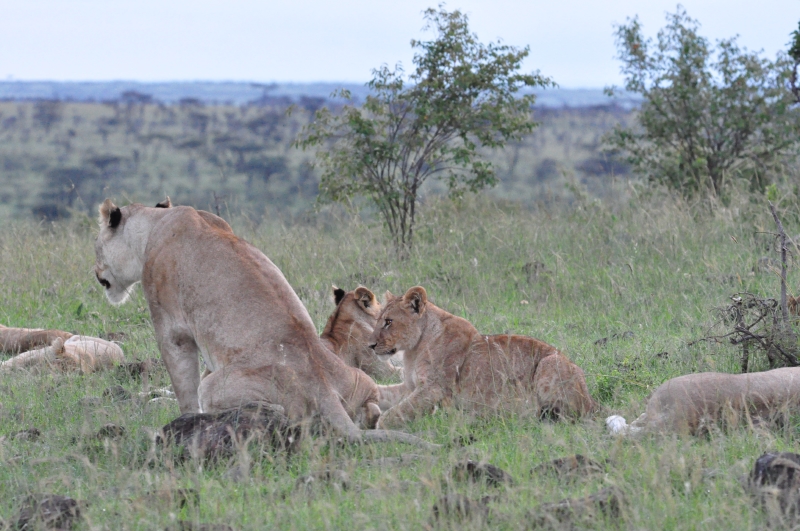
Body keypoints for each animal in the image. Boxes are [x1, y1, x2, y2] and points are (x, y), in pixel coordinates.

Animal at [94, 199, 380, 441]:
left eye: (96, 245)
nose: (95, 271)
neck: (154, 223)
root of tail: (324, 388)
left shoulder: (171, 327)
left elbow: (183, 384)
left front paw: (186, 419)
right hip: (361, 379)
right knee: (373, 409)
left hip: (213, 389)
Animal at [369, 286, 597, 429]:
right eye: (378, 320)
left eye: (388, 322)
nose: (370, 345)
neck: (414, 349)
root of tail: (591, 399)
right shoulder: (411, 386)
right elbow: (386, 394)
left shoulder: (433, 388)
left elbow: (399, 411)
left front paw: (377, 425)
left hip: (549, 364)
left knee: (556, 417)